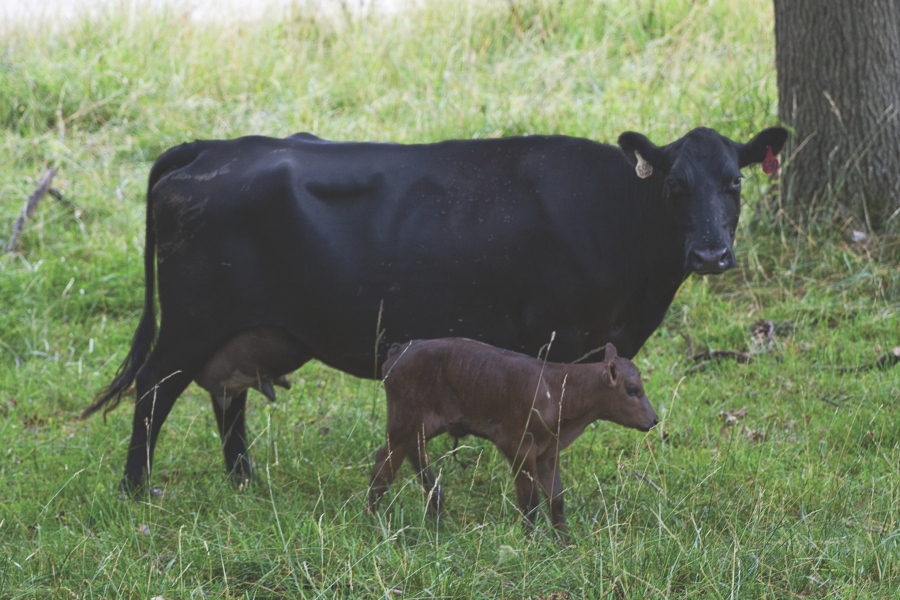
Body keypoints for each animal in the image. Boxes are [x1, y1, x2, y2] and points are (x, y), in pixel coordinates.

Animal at [83, 125, 788, 494]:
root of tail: (214, 146)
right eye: (674, 186)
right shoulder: (558, 339)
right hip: (191, 321)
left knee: (225, 395)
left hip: (245, 331)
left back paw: (244, 483)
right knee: (154, 389)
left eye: (735, 183)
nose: (712, 253)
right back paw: (136, 489)